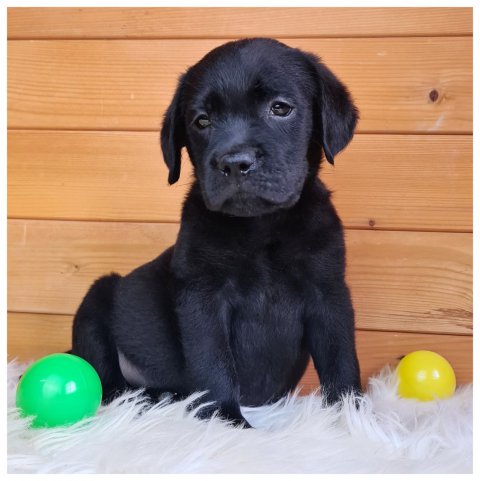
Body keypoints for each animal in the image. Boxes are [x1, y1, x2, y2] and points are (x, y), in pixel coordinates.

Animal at [71, 38, 360, 428]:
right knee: (110, 384)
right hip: (96, 302)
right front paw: (226, 421)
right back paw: (152, 398)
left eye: (280, 108)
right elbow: (213, 363)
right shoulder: (203, 297)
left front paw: (354, 416)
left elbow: (340, 358)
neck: (261, 228)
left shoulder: (328, 292)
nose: (235, 163)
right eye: (202, 121)